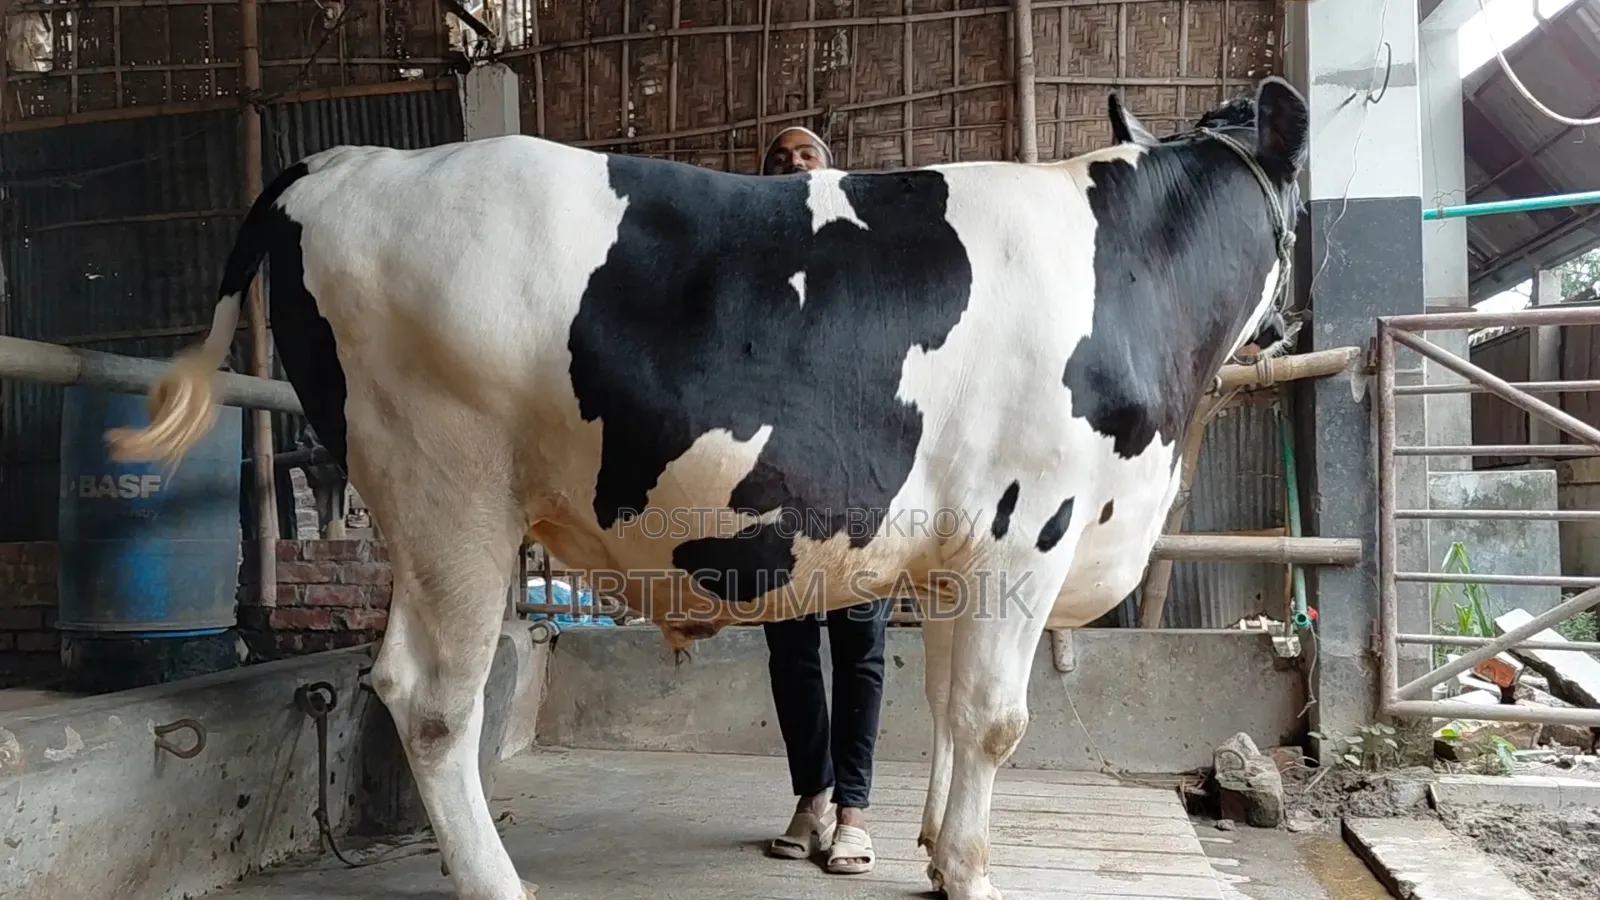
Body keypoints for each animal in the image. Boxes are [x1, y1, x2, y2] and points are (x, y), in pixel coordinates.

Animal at [105, 75, 1309, 900]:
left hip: (427, 508)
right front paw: (972, 872)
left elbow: (939, 705)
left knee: (401, 678)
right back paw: (499, 883)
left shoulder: (958, 555)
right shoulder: (1027, 529)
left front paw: (929, 846)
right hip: (451, 488)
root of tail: (348, 163)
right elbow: (994, 719)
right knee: (437, 702)